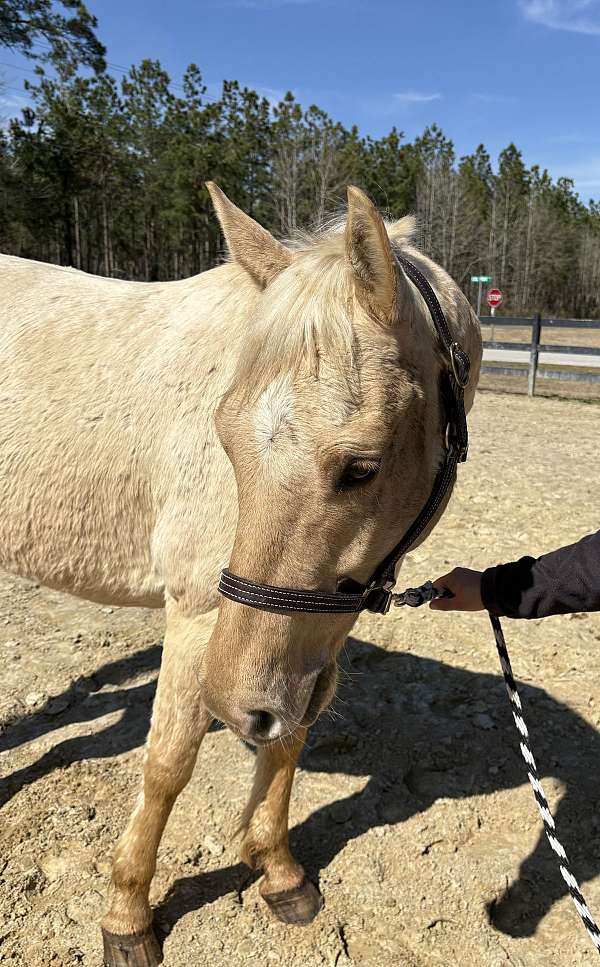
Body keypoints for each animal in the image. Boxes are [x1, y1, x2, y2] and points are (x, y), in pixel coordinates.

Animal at [0, 180, 480, 960]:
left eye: (362, 466)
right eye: (224, 436)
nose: (233, 709)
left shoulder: (308, 636)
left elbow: (286, 740)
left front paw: (277, 872)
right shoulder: (204, 615)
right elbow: (167, 764)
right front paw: (127, 914)